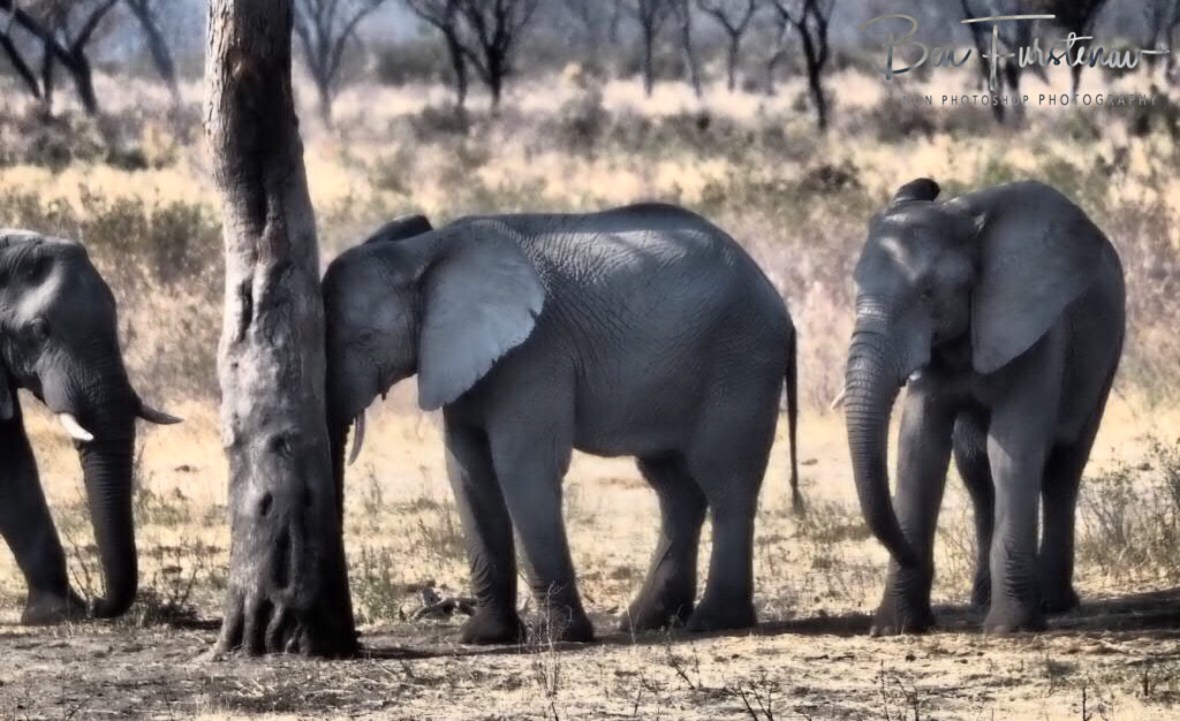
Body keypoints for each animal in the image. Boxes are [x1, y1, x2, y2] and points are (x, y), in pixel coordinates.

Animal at [323, 204, 800, 644]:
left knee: (726, 481)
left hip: (741, 361)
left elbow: (522, 468)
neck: (425, 251)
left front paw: (561, 637)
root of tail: (778, 301)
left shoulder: (534, 353)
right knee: (674, 487)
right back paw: (646, 622)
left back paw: (715, 622)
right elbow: (467, 472)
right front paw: (485, 637)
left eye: (364, 339)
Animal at [842, 179, 1124, 635]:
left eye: (928, 294)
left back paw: (1054, 602)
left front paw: (1011, 628)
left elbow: (1011, 449)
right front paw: (893, 628)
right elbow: (919, 450)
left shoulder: (1036, 327)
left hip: (1108, 347)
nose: (908, 553)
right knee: (975, 466)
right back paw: (983, 599)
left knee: (1064, 466)